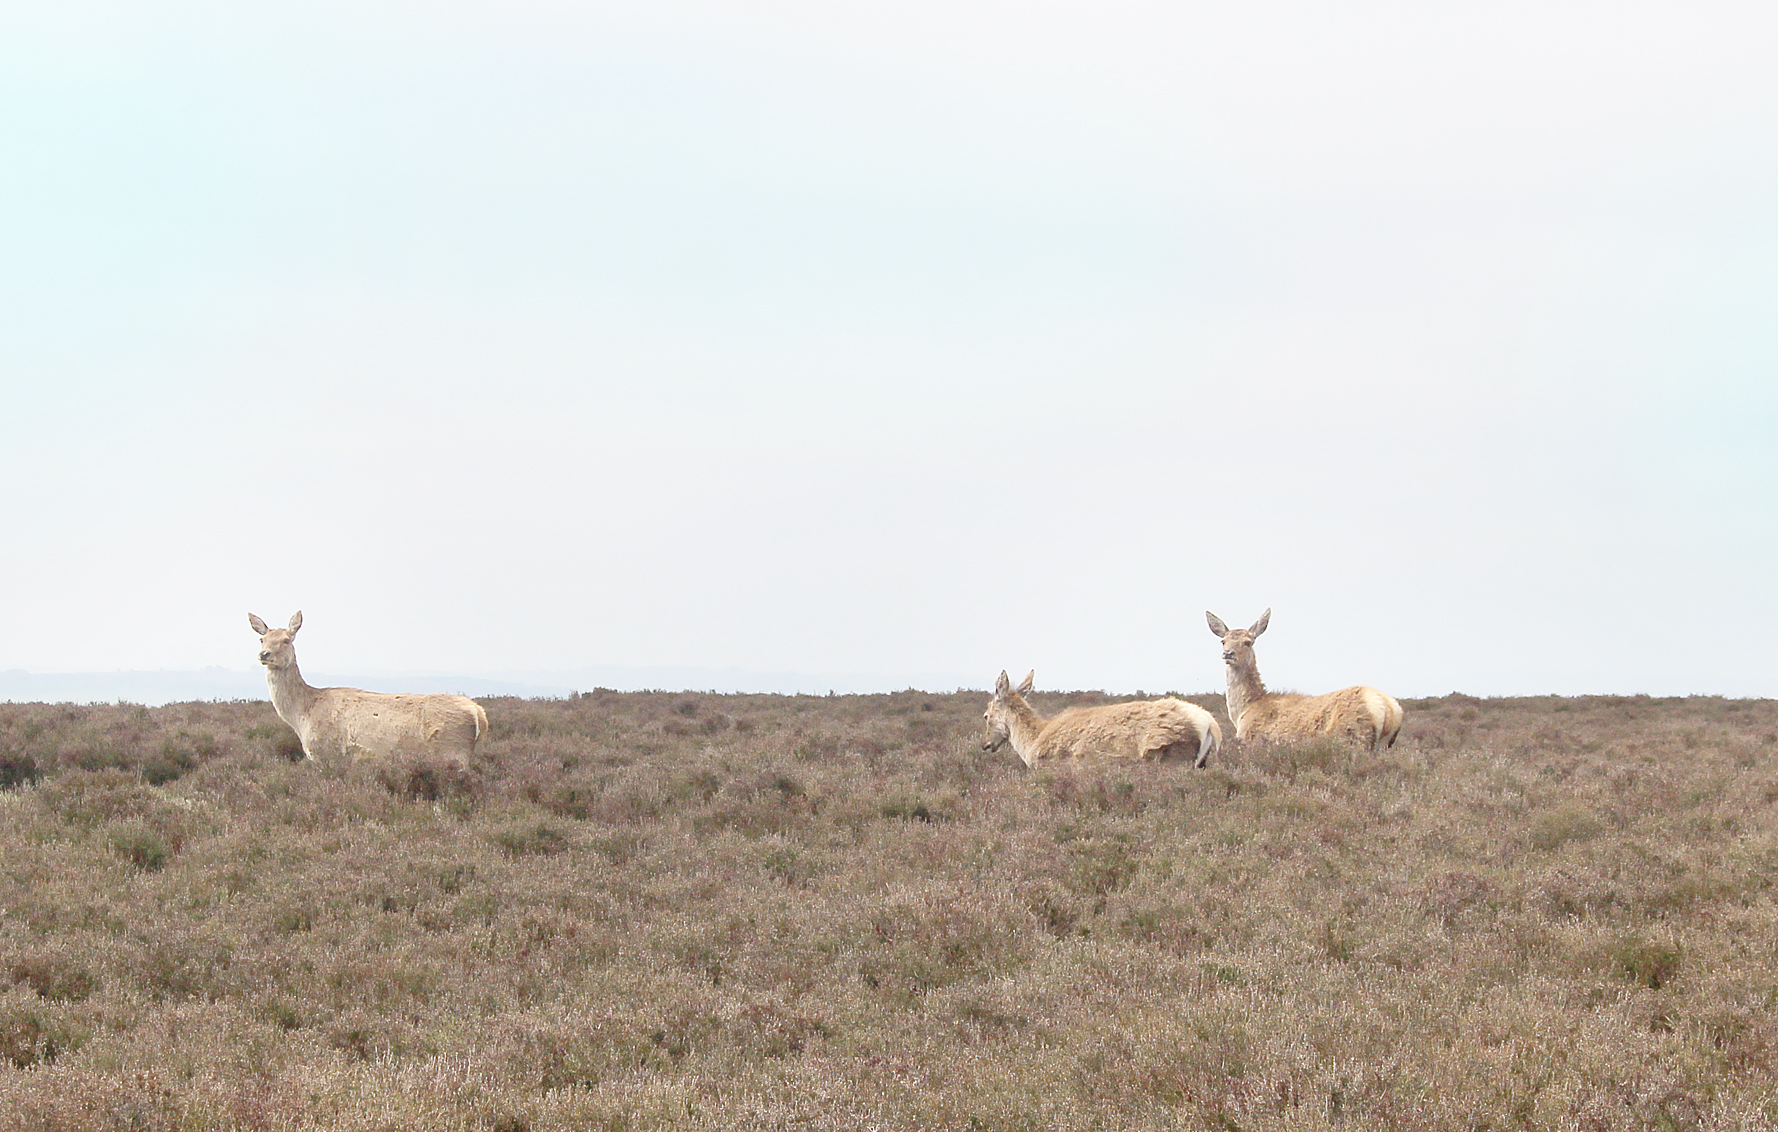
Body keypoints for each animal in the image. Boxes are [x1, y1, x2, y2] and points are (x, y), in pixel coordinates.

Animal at [248, 612, 489, 767]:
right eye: (262, 639)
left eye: (286, 640)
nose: (264, 654)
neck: (302, 716)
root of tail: (479, 714)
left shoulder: (327, 754)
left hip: (453, 753)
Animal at [1205, 608, 1402, 751]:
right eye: (1223, 641)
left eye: (1248, 642)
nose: (1228, 654)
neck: (1243, 711)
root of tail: (1389, 709)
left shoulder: (1249, 740)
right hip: (1383, 746)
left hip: (1351, 736)